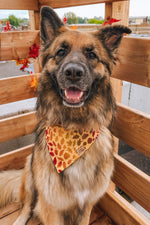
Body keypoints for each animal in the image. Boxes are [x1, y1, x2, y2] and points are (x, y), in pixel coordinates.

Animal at [0, 6, 131, 225]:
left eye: (91, 54)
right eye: (61, 52)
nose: (73, 73)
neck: (74, 129)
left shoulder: (87, 204)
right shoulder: (52, 207)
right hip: (31, 174)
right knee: (26, 206)